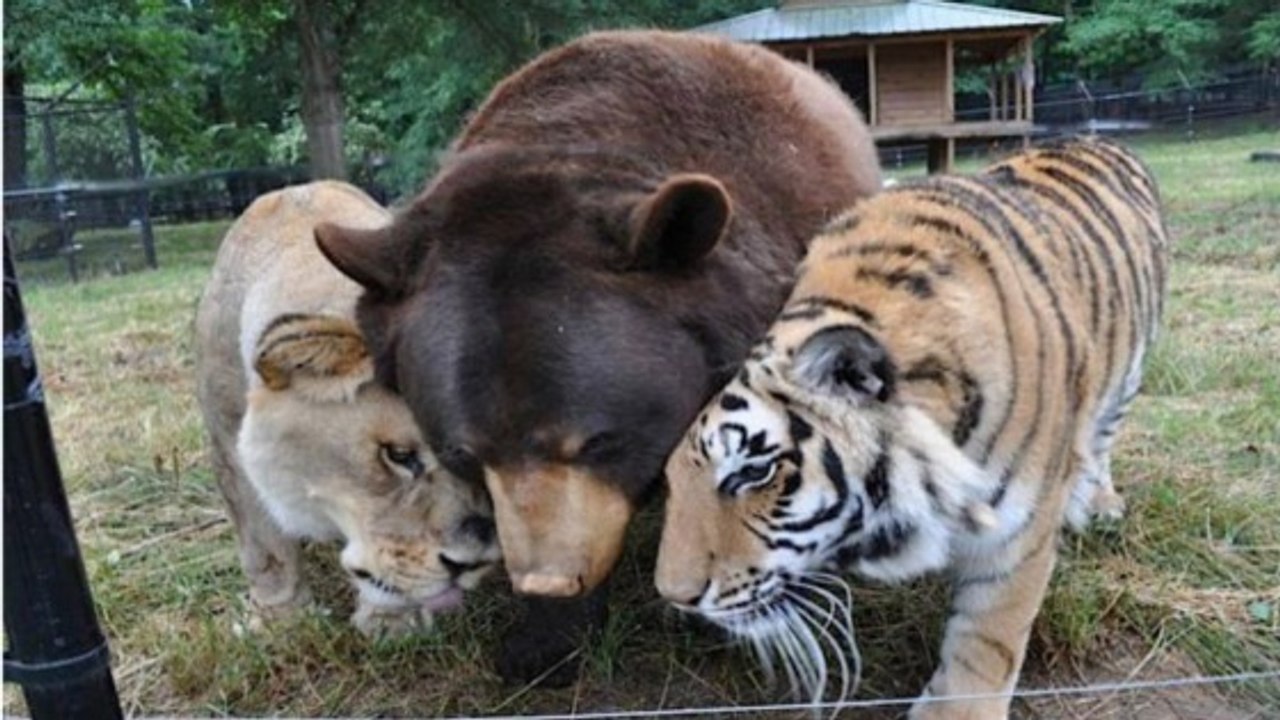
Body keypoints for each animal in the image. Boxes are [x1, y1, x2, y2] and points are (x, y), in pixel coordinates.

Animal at [195, 181, 501, 636]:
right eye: (398, 455)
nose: (474, 562)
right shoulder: (227, 442)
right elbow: (264, 546)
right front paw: (280, 620)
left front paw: (393, 622)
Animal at [655, 136, 1168, 719]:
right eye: (672, 479)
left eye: (753, 473)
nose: (674, 596)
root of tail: (1095, 137)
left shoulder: (1018, 535)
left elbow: (986, 643)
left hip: (1129, 372)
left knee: (1102, 435)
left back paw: (1099, 503)